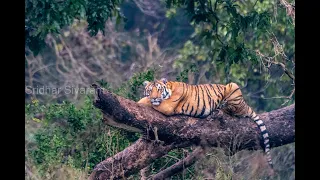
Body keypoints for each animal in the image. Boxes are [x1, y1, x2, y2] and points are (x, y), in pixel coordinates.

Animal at [137, 77, 272, 169]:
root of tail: (245, 104)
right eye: (150, 90)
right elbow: (145, 100)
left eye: (159, 90)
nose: (154, 97)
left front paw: (141, 102)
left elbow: (148, 102)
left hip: (232, 86)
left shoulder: (167, 105)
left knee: (234, 110)